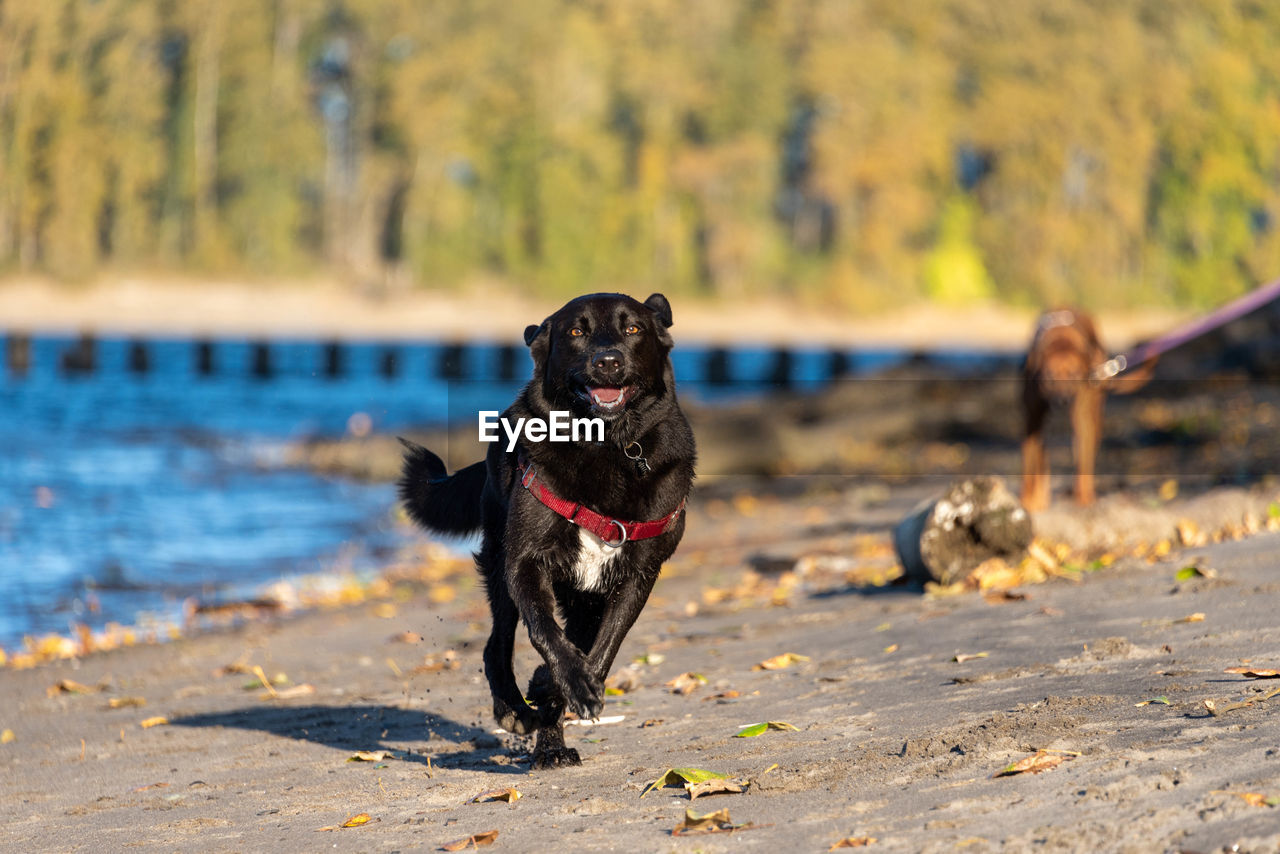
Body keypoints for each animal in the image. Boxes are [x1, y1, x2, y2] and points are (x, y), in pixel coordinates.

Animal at [401, 291, 696, 768]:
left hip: (582, 598)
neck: (604, 445)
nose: (608, 362)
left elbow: (605, 647)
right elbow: (544, 632)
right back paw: (520, 715)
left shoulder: (637, 575)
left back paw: (549, 733)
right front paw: (562, 686)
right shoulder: (524, 562)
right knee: (497, 644)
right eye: (576, 331)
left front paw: (557, 685)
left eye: (633, 329)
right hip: (498, 565)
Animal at [1018, 311, 1162, 512]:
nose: (1062, 401)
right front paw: (1028, 501)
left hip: (1094, 415)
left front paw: (1084, 500)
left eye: (1074, 375)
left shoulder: (1082, 417)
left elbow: (1084, 462)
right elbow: (1030, 466)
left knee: (1085, 452)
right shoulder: (1032, 421)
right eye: (1049, 377)